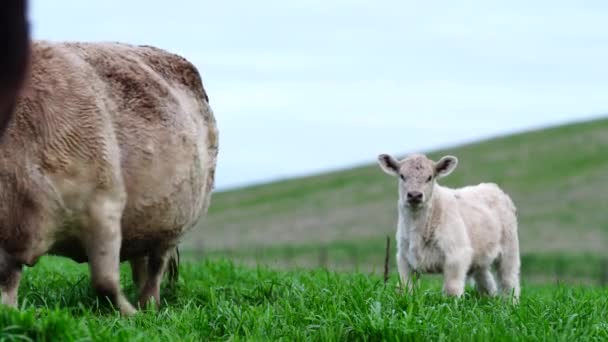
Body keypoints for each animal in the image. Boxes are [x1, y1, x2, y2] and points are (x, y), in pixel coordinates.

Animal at [0, 40, 218, 316]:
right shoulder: (11, 236)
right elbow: (7, 285)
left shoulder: (104, 204)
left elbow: (104, 282)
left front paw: (131, 315)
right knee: (141, 263)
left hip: (175, 225)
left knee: (157, 265)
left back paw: (148, 306)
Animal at [378, 152, 520, 300]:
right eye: (402, 176)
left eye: (430, 177)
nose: (414, 195)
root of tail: (493, 187)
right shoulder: (404, 258)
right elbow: (405, 288)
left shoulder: (457, 255)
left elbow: (452, 290)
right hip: (479, 257)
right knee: (486, 282)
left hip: (509, 249)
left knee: (509, 281)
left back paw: (511, 303)